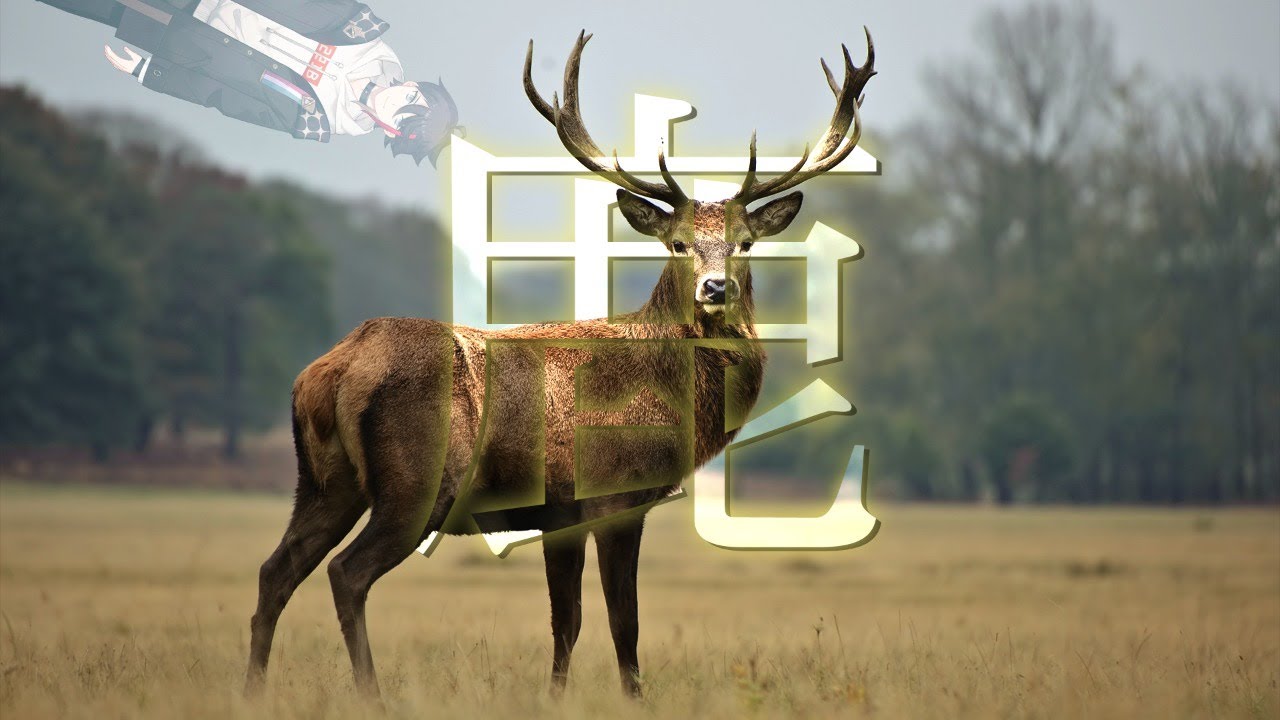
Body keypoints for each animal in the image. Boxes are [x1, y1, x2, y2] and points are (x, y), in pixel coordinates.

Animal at [244, 28, 875, 699]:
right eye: (677, 242)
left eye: (746, 243)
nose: (715, 289)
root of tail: (331, 371)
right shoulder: (615, 496)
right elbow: (623, 622)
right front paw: (635, 700)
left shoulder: (558, 513)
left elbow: (565, 622)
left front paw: (555, 697)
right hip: (413, 484)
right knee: (346, 573)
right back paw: (372, 695)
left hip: (324, 481)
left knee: (275, 570)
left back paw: (253, 689)